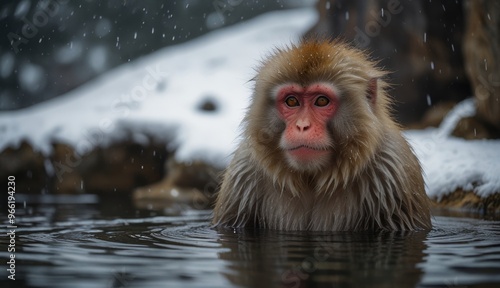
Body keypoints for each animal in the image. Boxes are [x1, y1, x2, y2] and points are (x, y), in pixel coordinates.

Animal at [213, 38, 432, 232]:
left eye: (321, 101)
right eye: (291, 101)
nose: (302, 126)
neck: (311, 180)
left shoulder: (394, 171)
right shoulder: (242, 173)